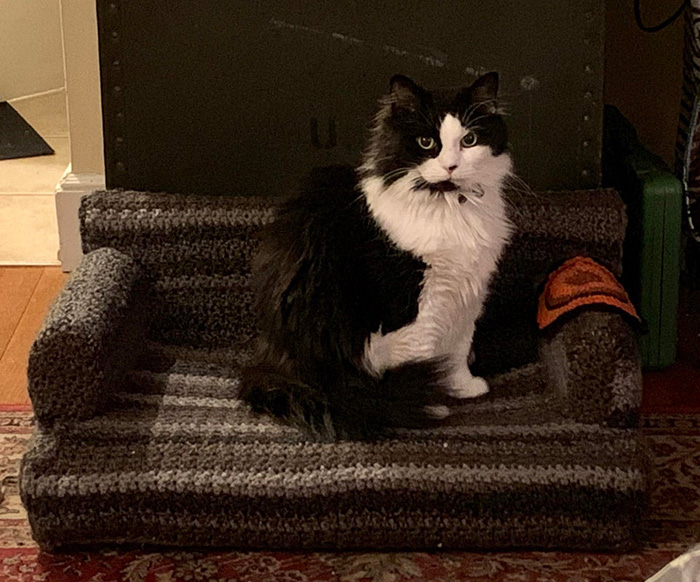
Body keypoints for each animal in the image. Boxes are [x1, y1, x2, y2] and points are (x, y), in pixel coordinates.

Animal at [242, 72, 516, 438]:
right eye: (426, 142)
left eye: (469, 140)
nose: (451, 166)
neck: (447, 203)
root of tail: (272, 359)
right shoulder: (419, 304)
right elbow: (423, 355)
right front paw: (429, 402)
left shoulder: (465, 293)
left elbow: (457, 350)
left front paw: (463, 386)